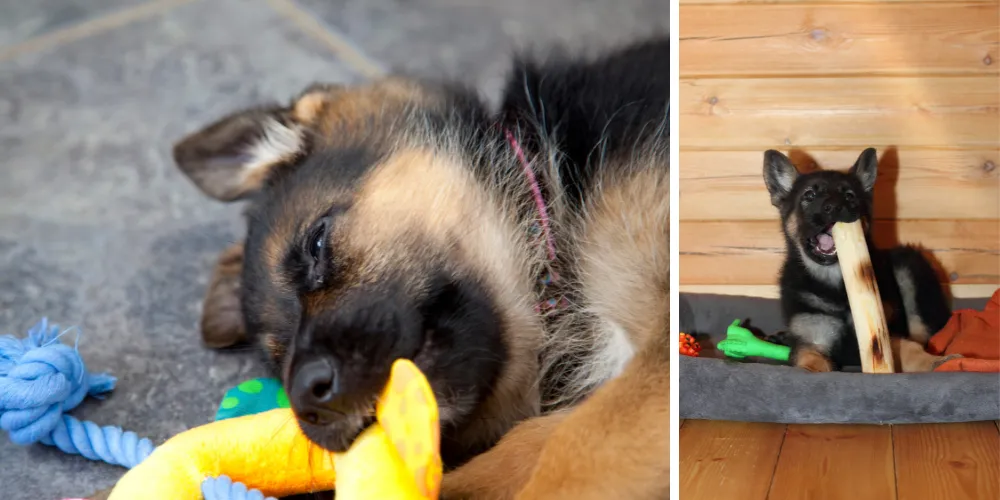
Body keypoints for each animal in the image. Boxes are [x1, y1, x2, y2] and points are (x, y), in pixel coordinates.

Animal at [764, 150, 952, 374]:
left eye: (849, 196)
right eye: (809, 195)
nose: (836, 208)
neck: (838, 282)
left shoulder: (885, 334)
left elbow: (910, 348)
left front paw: (934, 362)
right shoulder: (812, 342)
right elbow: (810, 361)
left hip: (908, 264)